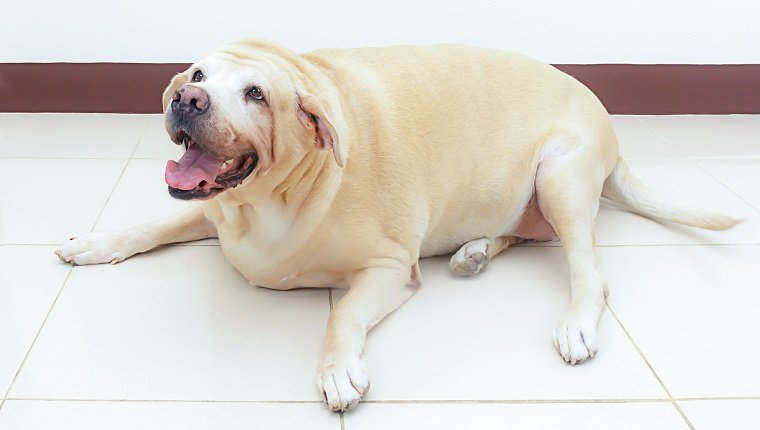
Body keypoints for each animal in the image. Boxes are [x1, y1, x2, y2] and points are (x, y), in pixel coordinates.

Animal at [53, 39, 736, 410]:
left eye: (255, 94)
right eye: (198, 75)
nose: (186, 100)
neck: (270, 201)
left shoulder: (386, 269)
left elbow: (341, 317)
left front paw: (336, 369)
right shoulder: (214, 211)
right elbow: (150, 226)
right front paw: (96, 241)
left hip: (561, 176)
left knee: (588, 270)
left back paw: (573, 321)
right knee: (528, 232)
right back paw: (476, 250)